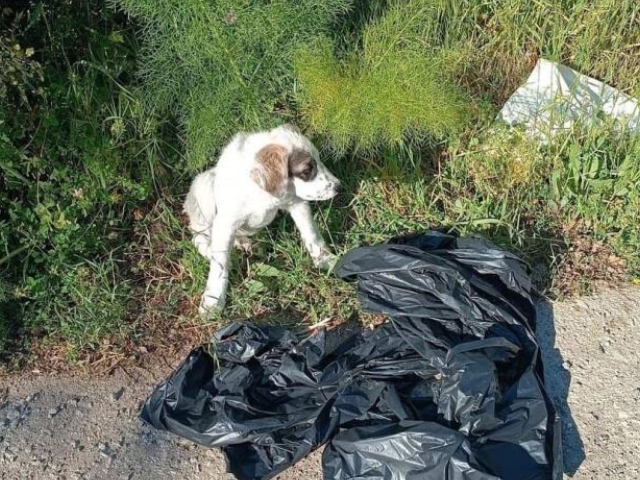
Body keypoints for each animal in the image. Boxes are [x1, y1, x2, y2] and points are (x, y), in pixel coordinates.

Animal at [184, 122, 340, 314]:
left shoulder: (296, 203)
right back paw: (209, 249)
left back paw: (242, 242)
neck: (261, 191)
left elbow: (312, 235)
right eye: (307, 170)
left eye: (319, 160)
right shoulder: (225, 222)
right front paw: (213, 301)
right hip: (204, 189)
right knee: (198, 235)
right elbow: (219, 265)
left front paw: (326, 259)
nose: (339, 187)